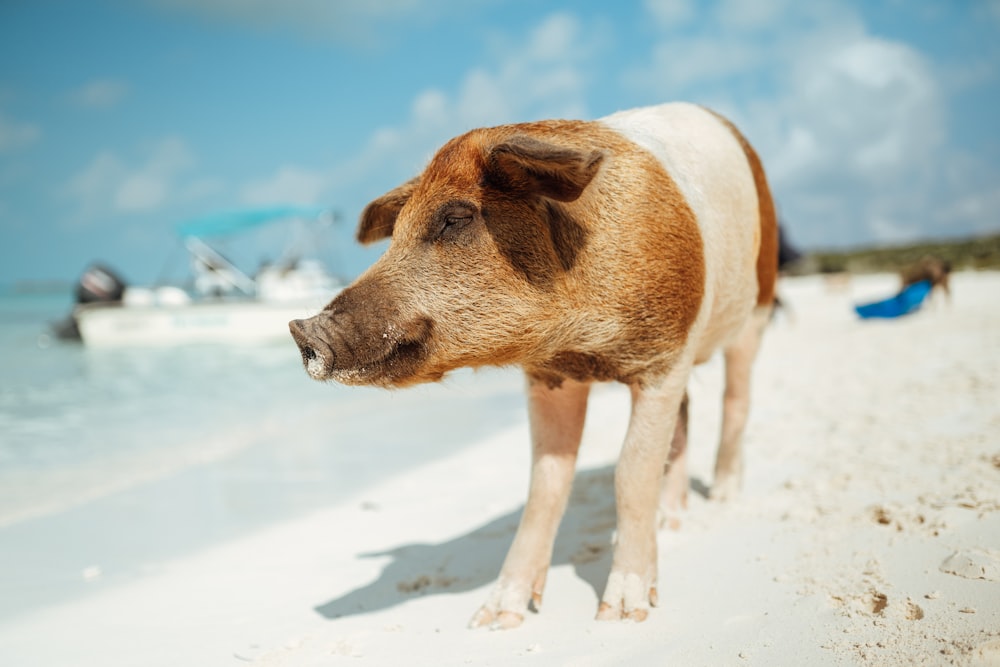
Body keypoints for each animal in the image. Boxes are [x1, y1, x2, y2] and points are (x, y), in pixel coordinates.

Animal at [290, 102, 780, 628]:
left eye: (455, 218)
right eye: (396, 232)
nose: (301, 330)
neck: (584, 343)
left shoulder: (664, 355)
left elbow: (631, 472)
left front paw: (620, 615)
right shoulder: (550, 375)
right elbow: (545, 485)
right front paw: (494, 619)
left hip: (757, 304)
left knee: (736, 397)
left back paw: (725, 496)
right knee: (685, 418)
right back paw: (672, 522)